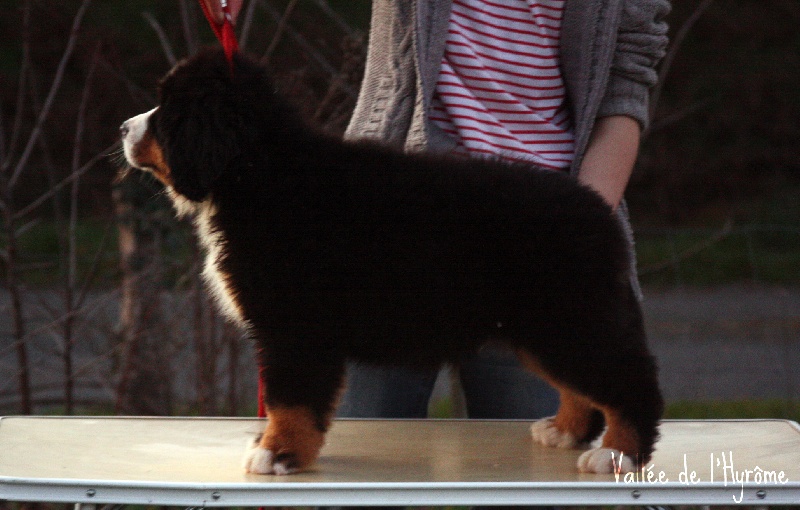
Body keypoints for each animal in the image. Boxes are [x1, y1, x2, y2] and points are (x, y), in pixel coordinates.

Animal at [121, 48, 662, 476]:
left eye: (168, 110)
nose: (124, 127)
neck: (258, 171)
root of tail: (597, 209)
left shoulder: (295, 327)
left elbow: (290, 398)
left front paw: (278, 453)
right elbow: (289, 400)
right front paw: (276, 445)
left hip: (570, 316)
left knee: (629, 379)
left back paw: (618, 454)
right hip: (545, 327)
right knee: (585, 383)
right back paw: (565, 430)